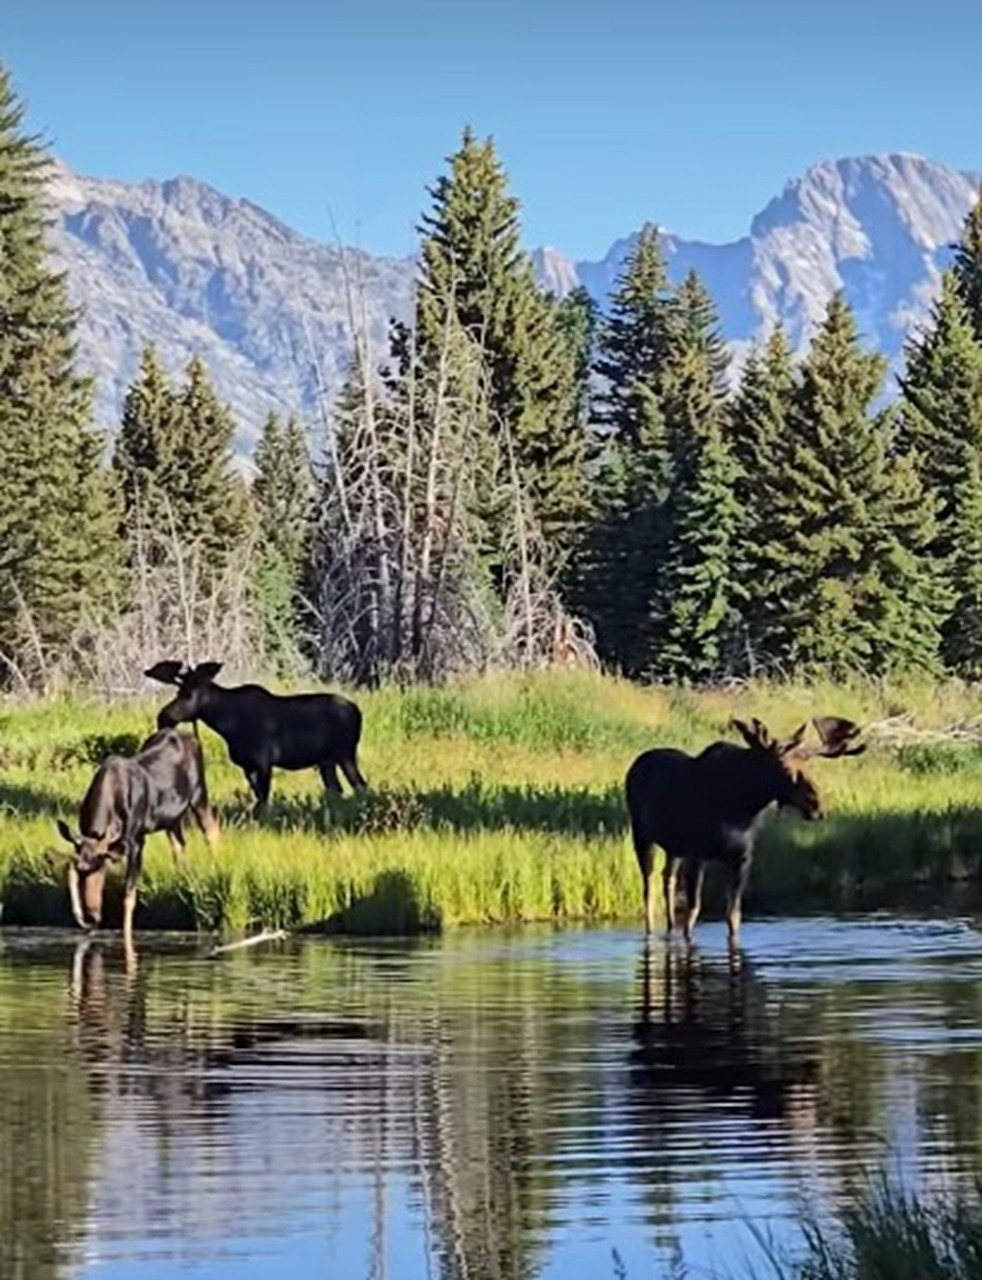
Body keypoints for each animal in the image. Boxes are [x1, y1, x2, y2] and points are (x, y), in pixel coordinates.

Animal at [625, 715, 864, 945]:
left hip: (674, 848)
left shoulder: (742, 857)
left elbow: (734, 915)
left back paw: (669, 926)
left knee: (668, 879)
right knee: (649, 887)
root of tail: (636, 764)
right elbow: (693, 912)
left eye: (807, 766)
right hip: (642, 836)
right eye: (784, 768)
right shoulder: (697, 854)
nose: (818, 808)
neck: (741, 807)